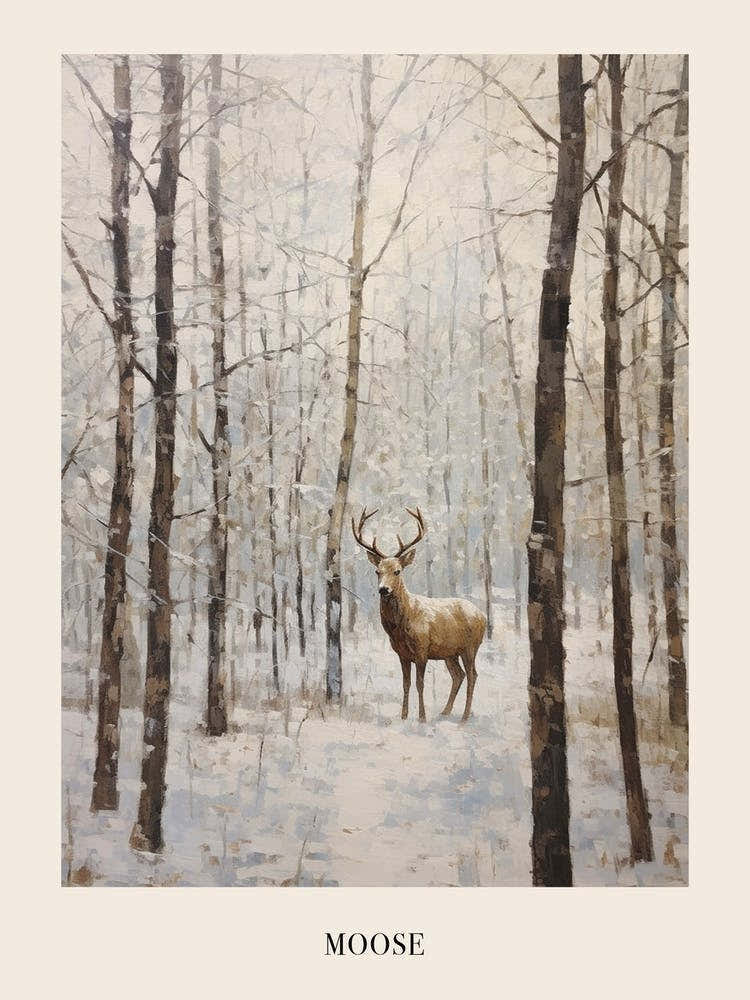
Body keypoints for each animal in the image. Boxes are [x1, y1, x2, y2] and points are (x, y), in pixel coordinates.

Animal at [352, 506, 486, 723]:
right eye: (377, 571)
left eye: (397, 571)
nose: (383, 589)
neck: (400, 626)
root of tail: (482, 615)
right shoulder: (402, 654)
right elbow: (405, 684)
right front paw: (404, 716)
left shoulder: (422, 649)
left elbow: (419, 683)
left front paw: (422, 717)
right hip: (450, 653)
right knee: (459, 675)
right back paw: (445, 711)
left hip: (471, 646)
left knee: (473, 675)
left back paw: (465, 716)